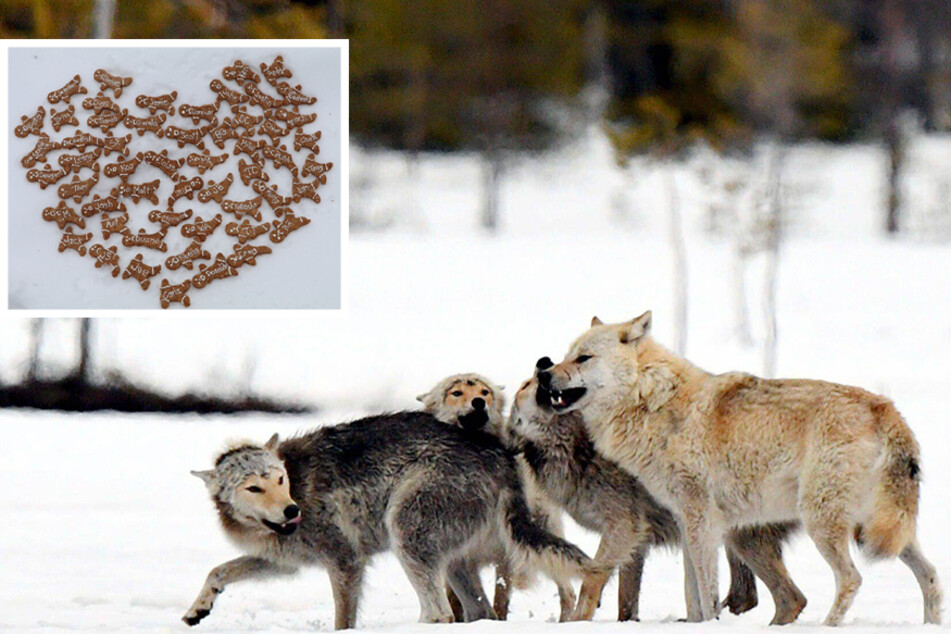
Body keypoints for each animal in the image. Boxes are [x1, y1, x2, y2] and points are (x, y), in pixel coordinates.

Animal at [184, 414, 594, 629]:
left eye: (280, 479)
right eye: (253, 487)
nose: (291, 511)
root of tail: (499, 457)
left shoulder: (345, 561)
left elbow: (342, 621)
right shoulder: (283, 563)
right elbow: (218, 571)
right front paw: (197, 610)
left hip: (406, 536)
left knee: (439, 613)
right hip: (454, 564)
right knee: (479, 613)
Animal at [417, 373, 577, 621]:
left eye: (485, 392)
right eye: (456, 393)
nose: (479, 402)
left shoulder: (506, 554)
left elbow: (500, 598)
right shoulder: (456, 557)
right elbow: (455, 597)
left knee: (568, 592)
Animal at [505, 363, 806, 623]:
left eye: (526, 383)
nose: (543, 363)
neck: (579, 450)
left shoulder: (625, 528)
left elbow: (592, 580)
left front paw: (580, 620)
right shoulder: (636, 543)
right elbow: (626, 602)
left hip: (737, 538)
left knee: (785, 598)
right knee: (766, 597)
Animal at [538, 311, 942, 625]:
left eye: (583, 358)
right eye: (566, 356)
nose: (544, 374)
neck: (653, 403)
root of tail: (886, 409)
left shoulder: (702, 521)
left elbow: (707, 592)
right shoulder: (687, 521)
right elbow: (693, 594)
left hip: (823, 524)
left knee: (851, 579)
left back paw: (828, 625)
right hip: (881, 530)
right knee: (932, 576)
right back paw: (931, 625)